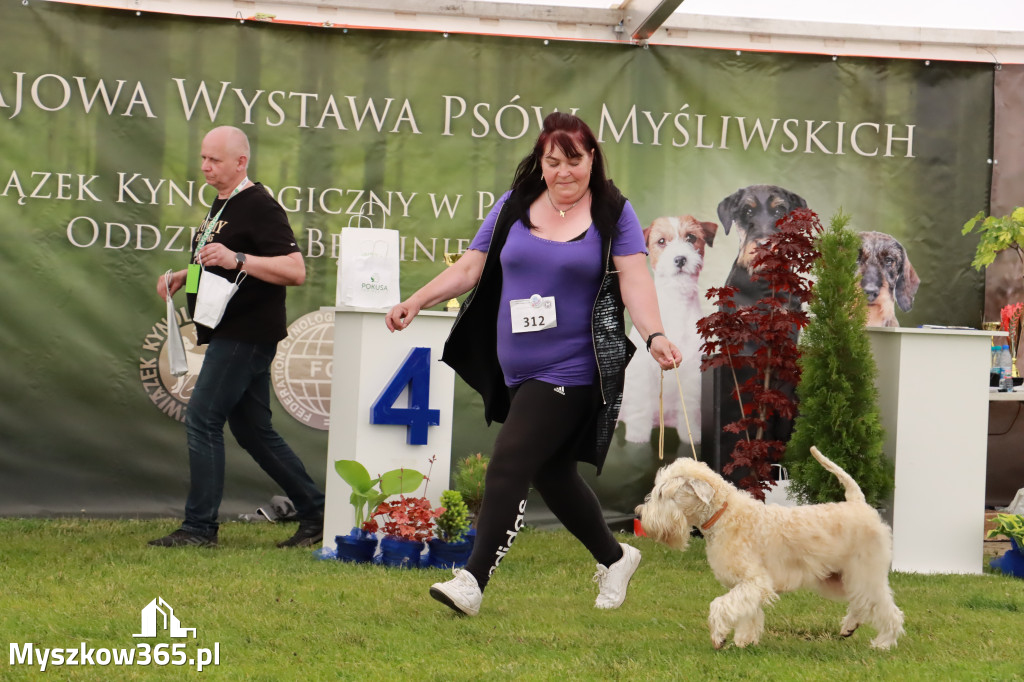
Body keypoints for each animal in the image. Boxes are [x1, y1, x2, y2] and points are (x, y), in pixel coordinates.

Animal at [614, 215, 720, 444]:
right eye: (661, 241)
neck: (677, 301)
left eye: (691, 237)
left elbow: (690, 407)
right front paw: (638, 436)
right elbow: (641, 408)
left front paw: (694, 436)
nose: (680, 259)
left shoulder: (692, 373)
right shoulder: (642, 372)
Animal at [634, 446, 909, 647]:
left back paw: (883, 643)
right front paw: (744, 640)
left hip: (865, 573)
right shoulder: (746, 585)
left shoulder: (754, 581)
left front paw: (719, 636)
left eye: (662, 493)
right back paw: (849, 628)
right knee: (862, 603)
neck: (723, 514)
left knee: (885, 607)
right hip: (839, 578)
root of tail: (859, 503)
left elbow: (720, 605)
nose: (638, 514)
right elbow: (747, 613)